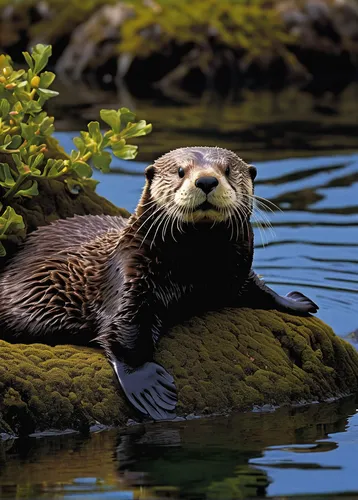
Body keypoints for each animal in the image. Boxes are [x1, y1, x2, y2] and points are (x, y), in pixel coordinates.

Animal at [0, 146, 318, 420]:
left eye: (227, 170)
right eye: (180, 171)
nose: (206, 180)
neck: (197, 271)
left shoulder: (236, 272)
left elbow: (258, 287)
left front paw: (297, 301)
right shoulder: (130, 279)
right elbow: (125, 334)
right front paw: (148, 385)